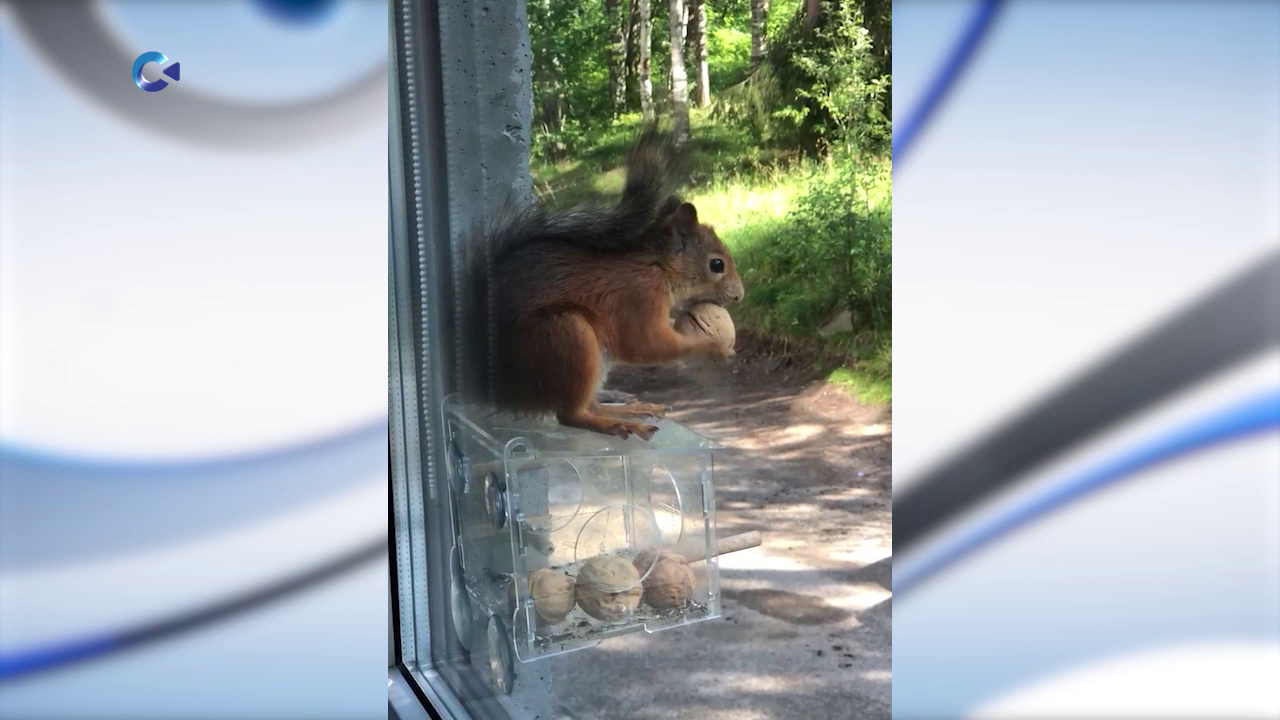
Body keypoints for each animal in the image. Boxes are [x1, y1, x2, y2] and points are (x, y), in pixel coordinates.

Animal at [471, 131, 747, 440]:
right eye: (717, 265)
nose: (739, 296)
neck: (658, 269)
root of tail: (502, 390)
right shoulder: (638, 299)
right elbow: (644, 344)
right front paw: (713, 349)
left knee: (589, 404)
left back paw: (628, 410)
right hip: (565, 336)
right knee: (571, 415)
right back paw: (616, 424)